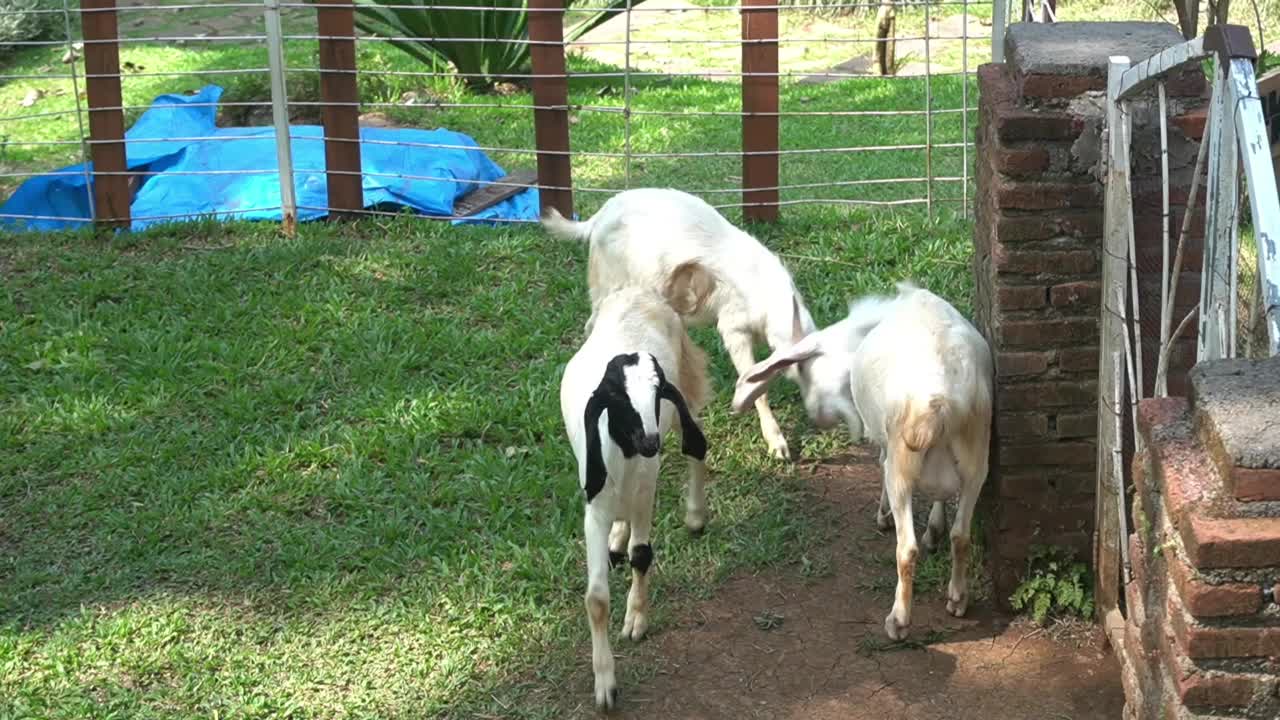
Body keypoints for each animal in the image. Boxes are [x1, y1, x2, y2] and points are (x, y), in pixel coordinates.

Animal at [537, 184, 844, 453]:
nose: (828, 419)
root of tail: (597, 218)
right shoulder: (733, 327)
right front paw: (777, 444)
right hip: (608, 282)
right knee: (593, 322)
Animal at [563, 258, 721, 707]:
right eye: (616, 398)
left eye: (656, 394)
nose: (650, 441)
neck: (624, 456)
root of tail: (646, 292)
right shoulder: (594, 506)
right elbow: (596, 598)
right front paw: (605, 684)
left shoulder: (645, 489)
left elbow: (643, 554)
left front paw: (636, 619)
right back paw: (618, 537)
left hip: (686, 390)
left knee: (696, 446)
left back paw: (695, 515)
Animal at [732, 281, 988, 638]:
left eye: (802, 371)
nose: (817, 417)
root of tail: (941, 400)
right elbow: (942, 499)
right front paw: (934, 530)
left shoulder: (882, 437)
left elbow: (879, 463)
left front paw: (884, 516)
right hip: (978, 458)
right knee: (961, 535)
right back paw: (958, 599)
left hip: (902, 464)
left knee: (906, 548)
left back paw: (898, 620)